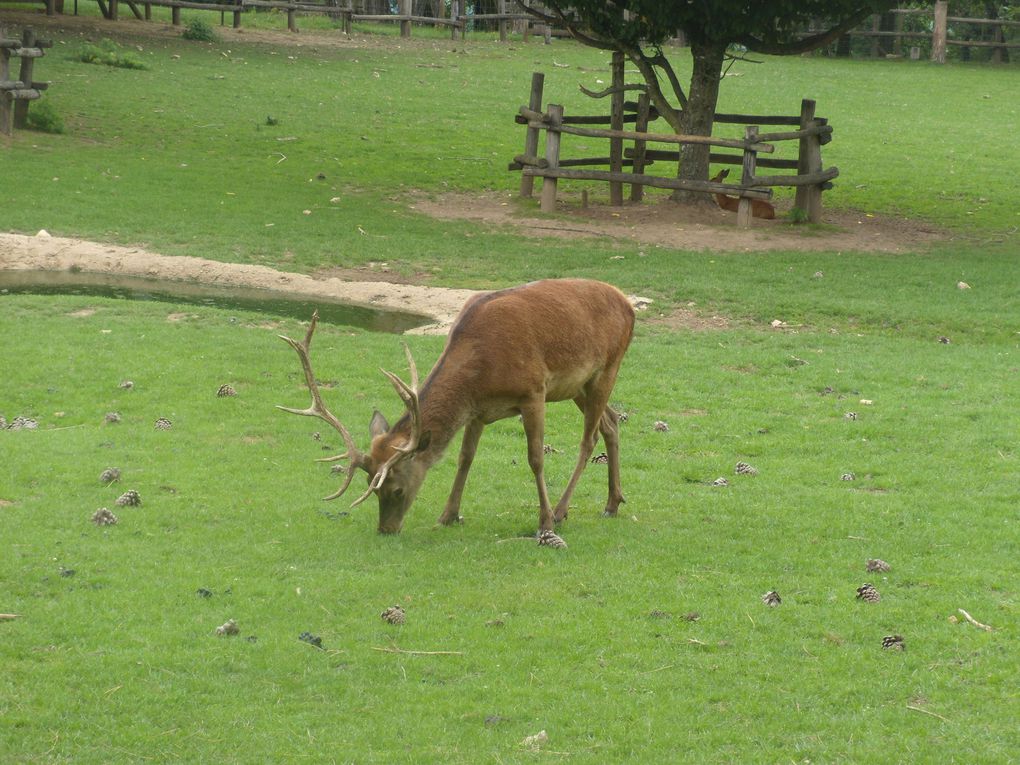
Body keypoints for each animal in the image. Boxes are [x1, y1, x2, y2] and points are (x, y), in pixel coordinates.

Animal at [277, 279, 628, 534]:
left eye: (397, 490)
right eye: (371, 487)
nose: (386, 529)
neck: (483, 369)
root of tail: (625, 301)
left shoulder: (534, 392)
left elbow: (536, 458)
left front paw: (543, 523)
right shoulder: (477, 410)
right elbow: (464, 458)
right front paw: (448, 515)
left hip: (607, 368)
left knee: (589, 439)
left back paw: (561, 510)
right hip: (578, 386)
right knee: (611, 422)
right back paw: (613, 503)